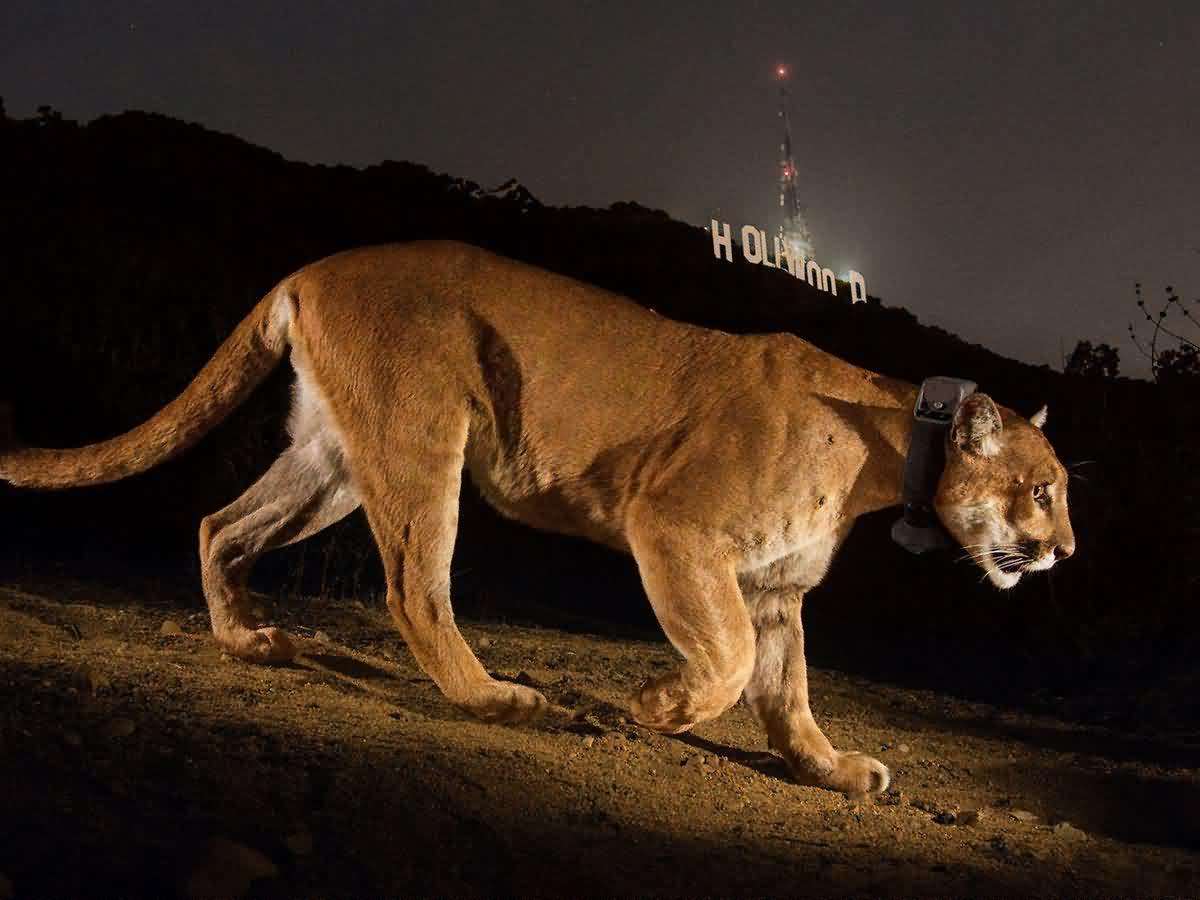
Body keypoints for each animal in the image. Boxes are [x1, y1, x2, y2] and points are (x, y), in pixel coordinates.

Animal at [0, 241, 1075, 795]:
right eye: (1045, 488)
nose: (1065, 548)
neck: (887, 447)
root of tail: (312, 268)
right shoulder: (675, 530)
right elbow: (729, 663)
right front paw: (656, 706)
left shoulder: (776, 588)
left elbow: (788, 691)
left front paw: (834, 768)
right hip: (421, 440)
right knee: (413, 588)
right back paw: (499, 700)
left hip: (333, 460)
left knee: (220, 526)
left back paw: (249, 640)